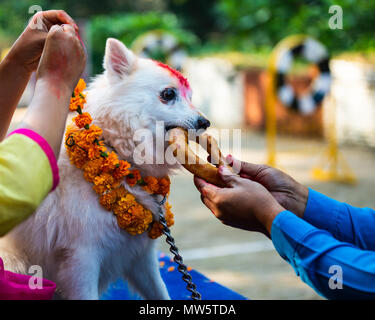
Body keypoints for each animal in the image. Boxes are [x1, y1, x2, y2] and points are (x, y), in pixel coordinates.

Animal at [0, 38, 212, 300]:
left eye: (190, 97)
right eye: (168, 94)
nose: (205, 122)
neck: (119, 156)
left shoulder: (141, 258)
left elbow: (160, 292)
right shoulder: (81, 260)